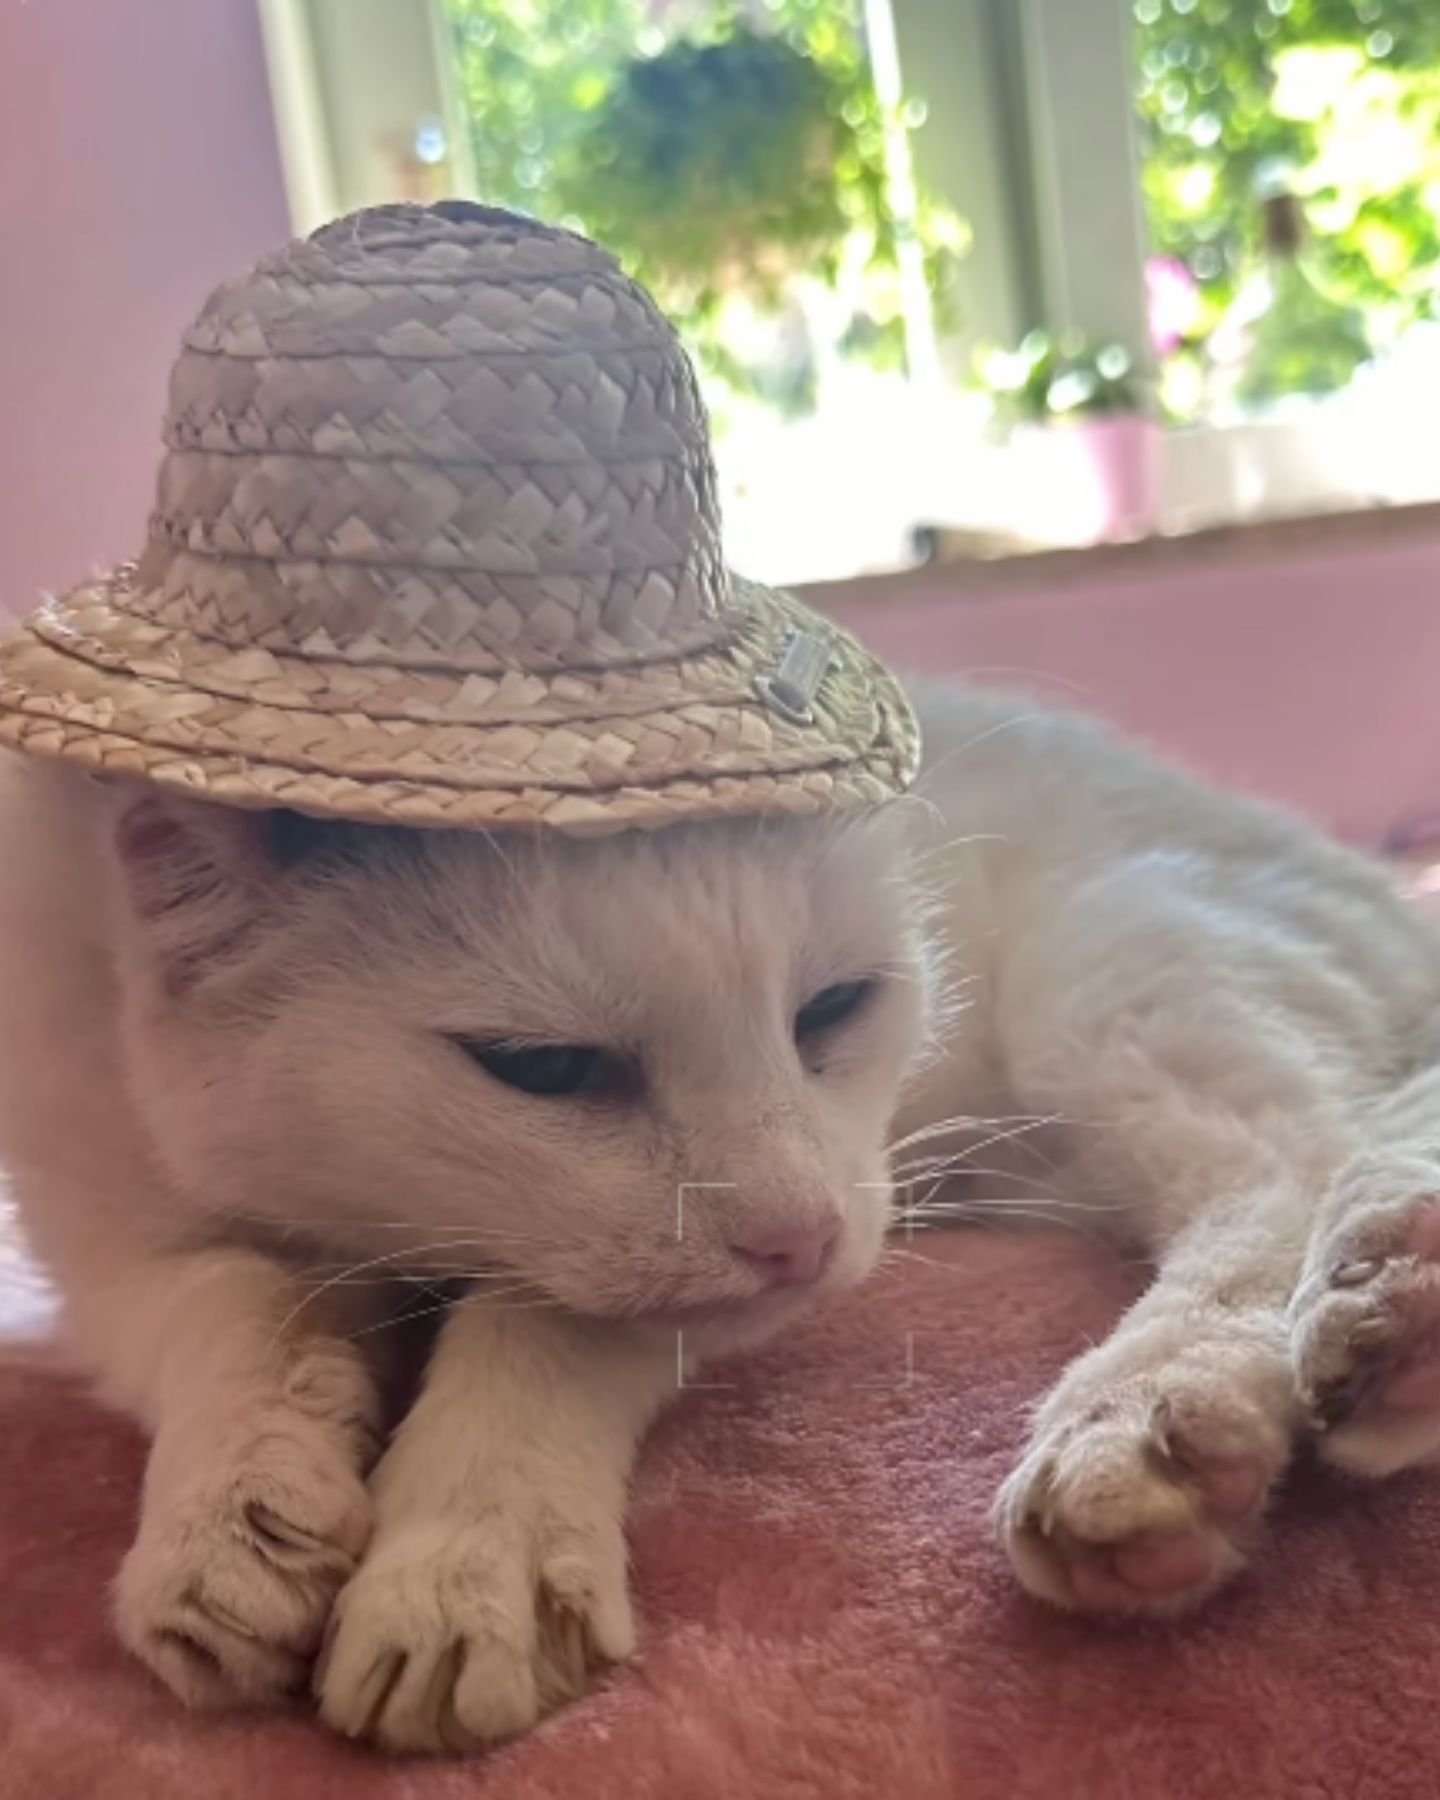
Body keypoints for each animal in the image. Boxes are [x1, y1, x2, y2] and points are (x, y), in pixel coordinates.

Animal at [2, 680, 1440, 1749]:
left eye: (837, 1007)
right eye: (544, 1067)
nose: (804, 1240)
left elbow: (536, 1324)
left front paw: (469, 1557)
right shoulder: (101, 1250)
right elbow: (237, 1308)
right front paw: (234, 1522)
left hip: (1115, 972)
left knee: (1300, 1157)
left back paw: (1186, 1410)